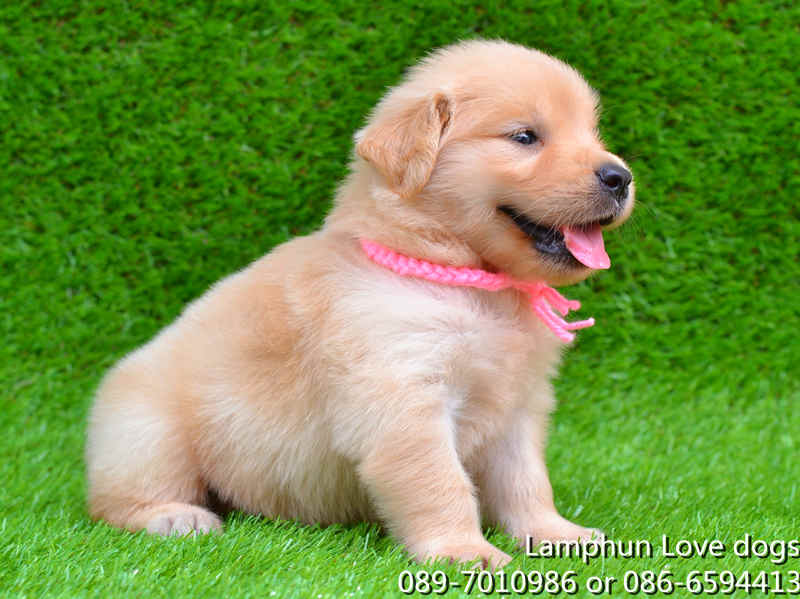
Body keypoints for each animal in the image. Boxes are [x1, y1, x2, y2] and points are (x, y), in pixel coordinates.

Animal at [86, 39, 634, 569]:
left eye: (591, 132)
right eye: (524, 137)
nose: (620, 177)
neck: (466, 282)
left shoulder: (518, 406)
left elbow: (527, 481)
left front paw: (556, 534)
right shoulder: (405, 400)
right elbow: (441, 484)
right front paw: (464, 551)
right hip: (149, 431)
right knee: (115, 501)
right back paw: (176, 517)